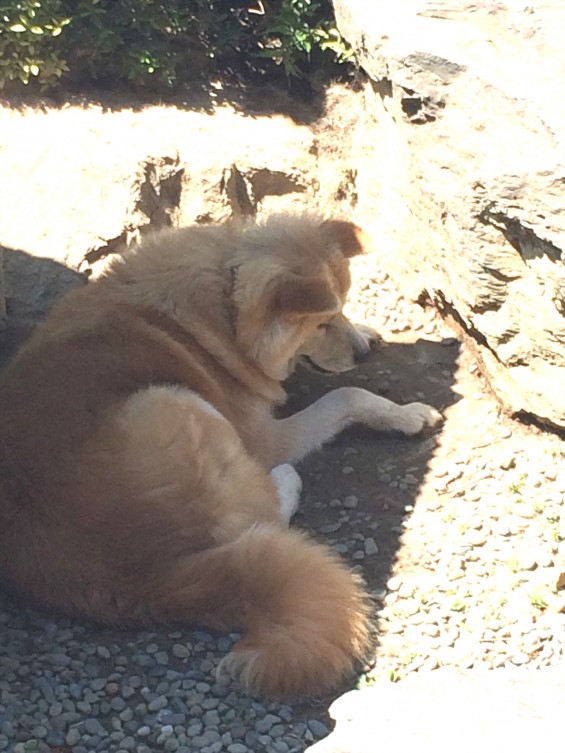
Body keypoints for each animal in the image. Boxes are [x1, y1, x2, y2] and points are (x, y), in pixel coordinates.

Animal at [0, 214, 440, 696]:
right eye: (321, 324)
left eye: (340, 310)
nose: (359, 355)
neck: (223, 308)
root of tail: (152, 579)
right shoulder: (266, 435)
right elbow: (346, 396)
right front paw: (404, 414)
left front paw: (366, 331)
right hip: (177, 401)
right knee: (263, 515)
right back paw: (285, 480)